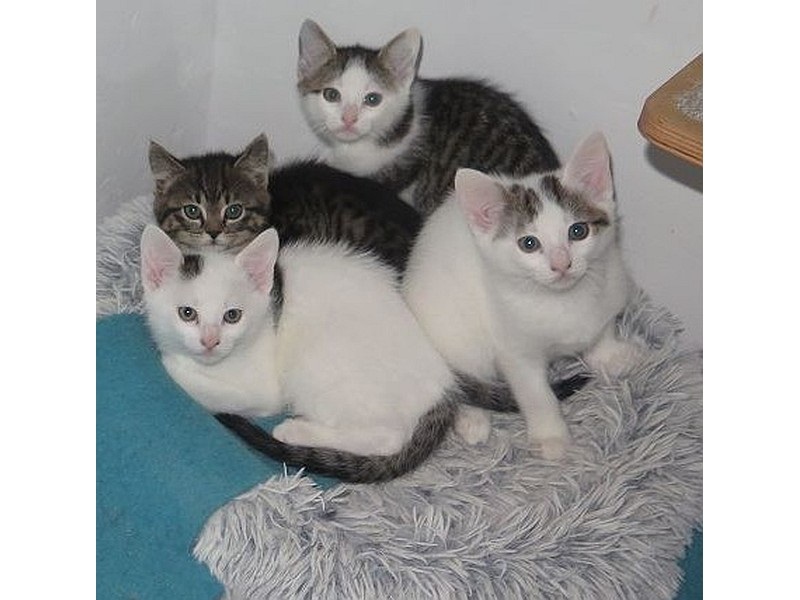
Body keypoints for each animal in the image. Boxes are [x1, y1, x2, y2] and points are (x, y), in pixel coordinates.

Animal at [140, 223, 464, 483]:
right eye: (187, 313)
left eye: (232, 316)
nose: (210, 341)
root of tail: (442, 389)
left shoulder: (264, 389)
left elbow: (204, 389)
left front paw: (171, 362)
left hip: (317, 360)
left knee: (388, 437)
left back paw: (297, 432)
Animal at [402, 132, 644, 460]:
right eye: (529, 243)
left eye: (578, 231)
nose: (561, 264)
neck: (565, 300)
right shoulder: (515, 350)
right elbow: (536, 394)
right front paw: (551, 436)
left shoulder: (612, 283)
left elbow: (603, 325)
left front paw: (609, 354)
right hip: (452, 327)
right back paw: (473, 419)